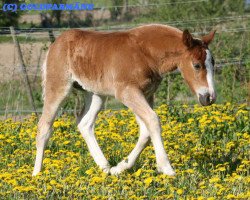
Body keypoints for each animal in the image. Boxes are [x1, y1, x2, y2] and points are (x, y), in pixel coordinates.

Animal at [32, 24, 216, 176]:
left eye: (212, 63)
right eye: (196, 65)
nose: (209, 97)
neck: (145, 52)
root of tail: (56, 43)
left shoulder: (146, 94)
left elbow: (145, 130)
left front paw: (120, 168)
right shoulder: (127, 92)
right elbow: (153, 121)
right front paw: (166, 168)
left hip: (95, 94)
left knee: (85, 123)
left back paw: (105, 167)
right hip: (58, 87)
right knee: (44, 126)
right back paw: (37, 174)